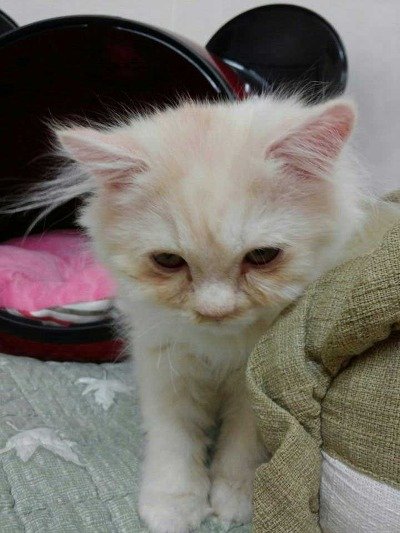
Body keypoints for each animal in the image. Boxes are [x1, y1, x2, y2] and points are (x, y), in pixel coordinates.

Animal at [16, 95, 366, 532]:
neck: (219, 349)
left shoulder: (253, 387)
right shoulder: (163, 367)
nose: (215, 310)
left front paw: (236, 501)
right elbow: (174, 443)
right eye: (168, 261)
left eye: (262, 256)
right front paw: (173, 508)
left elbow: (241, 448)